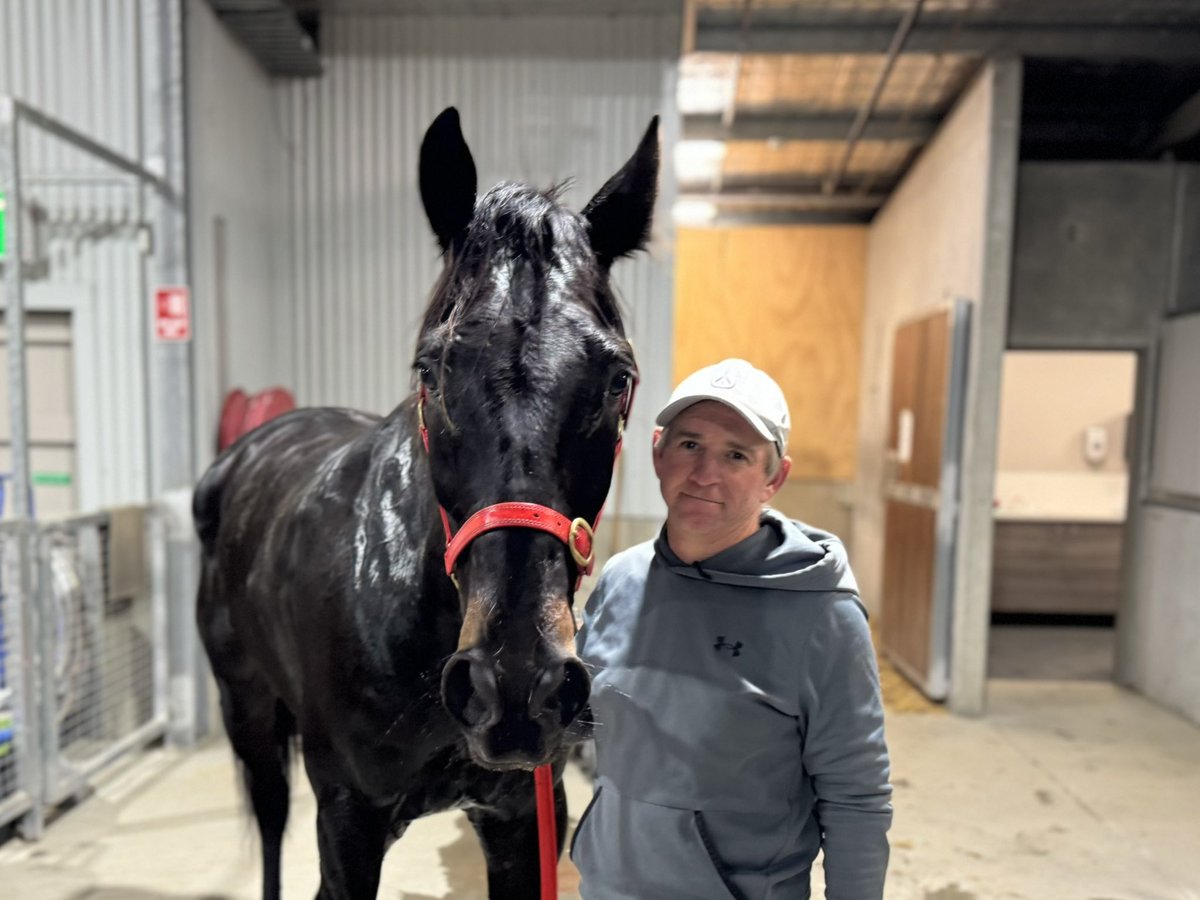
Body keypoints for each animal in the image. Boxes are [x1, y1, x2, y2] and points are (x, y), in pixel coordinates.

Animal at [193, 107, 658, 900]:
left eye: (617, 378)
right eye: (432, 371)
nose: (516, 684)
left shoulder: (521, 821)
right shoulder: (347, 824)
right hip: (247, 715)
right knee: (270, 829)